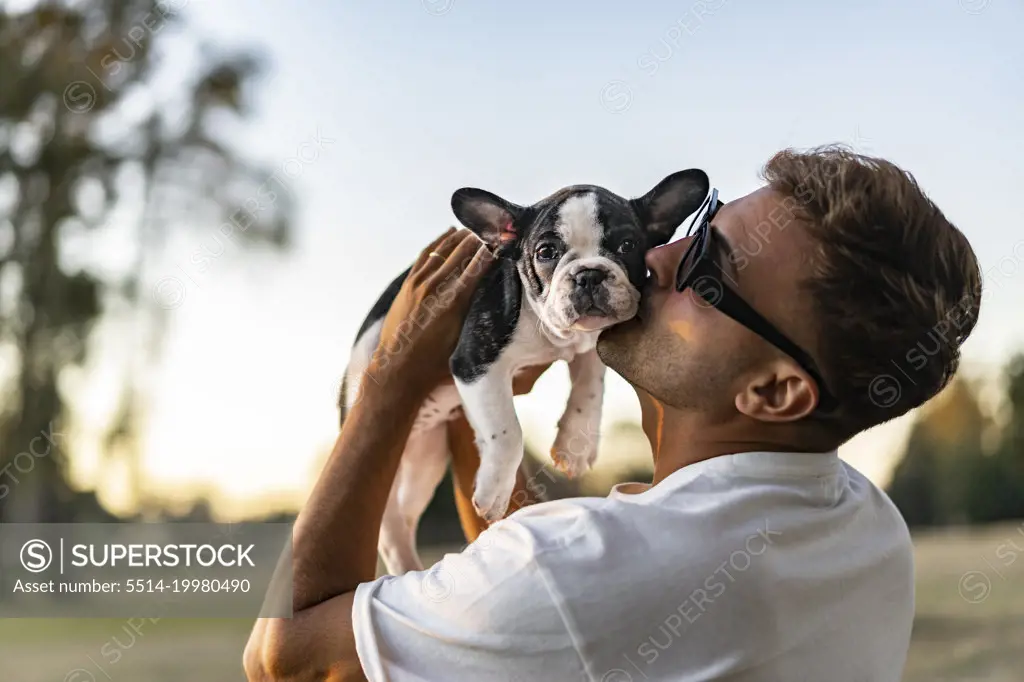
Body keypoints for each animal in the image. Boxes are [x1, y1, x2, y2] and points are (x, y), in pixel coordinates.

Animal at [339, 169, 708, 573]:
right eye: (546, 252)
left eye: (628, 245)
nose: (589, 274)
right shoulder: (474, 361)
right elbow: (508, 431)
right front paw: (494, 490)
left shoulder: (589, 339)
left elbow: (591, 381)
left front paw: (576, 442)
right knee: (388, 518)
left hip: (425, 457)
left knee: (404, 514)